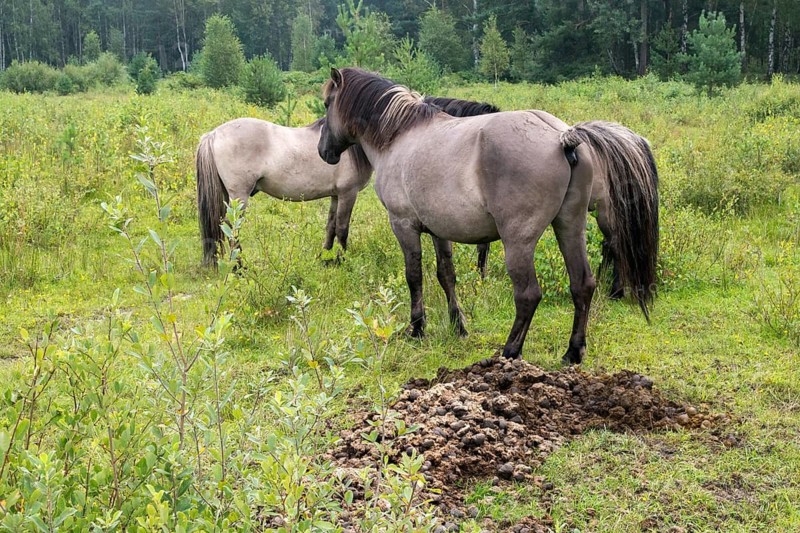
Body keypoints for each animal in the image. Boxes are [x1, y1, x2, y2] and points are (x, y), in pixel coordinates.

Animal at [196, 117, 372, 267]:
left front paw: (324, 258)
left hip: (229, 196)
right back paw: (238, 267)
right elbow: (342, 229)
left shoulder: (336, 195)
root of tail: (213, 134)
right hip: (239, 195)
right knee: (233, 226)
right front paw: (342, 261)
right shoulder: (348, 193)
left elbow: (331, 227)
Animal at [317, 68, 658, 364]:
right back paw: (573, 352)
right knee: (583, 284)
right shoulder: (439, 231)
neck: (399, 137)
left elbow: (414, 276)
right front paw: (458, 325)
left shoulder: (403, 226)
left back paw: (510, 351)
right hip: (570, 227)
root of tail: (564, 136)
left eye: (326, 103)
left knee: (528, 294)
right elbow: (446, 275)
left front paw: (417, 329)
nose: (324, 152)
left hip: (519, 242)